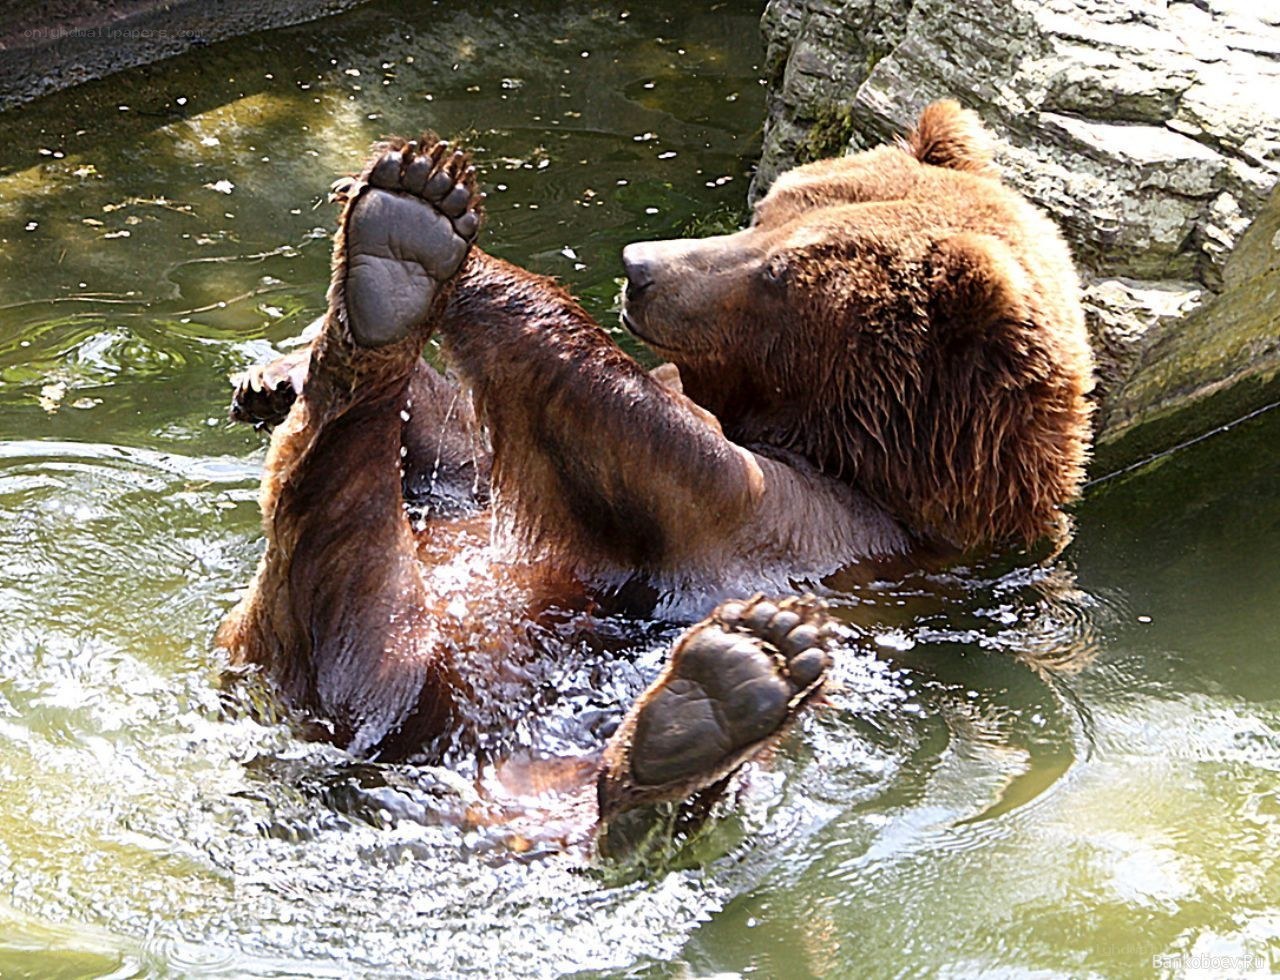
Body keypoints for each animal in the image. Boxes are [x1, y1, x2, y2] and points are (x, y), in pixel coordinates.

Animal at [218, 101, 1093, 834]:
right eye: (767, 210)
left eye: (779, 275)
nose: (641, 265)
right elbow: (473, 451)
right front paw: (278, 371)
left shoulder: (823, 531)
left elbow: (657, 454)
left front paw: (470, 255)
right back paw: (393, 260)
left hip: (401, 676)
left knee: (344, 561)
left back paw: (705, 711)